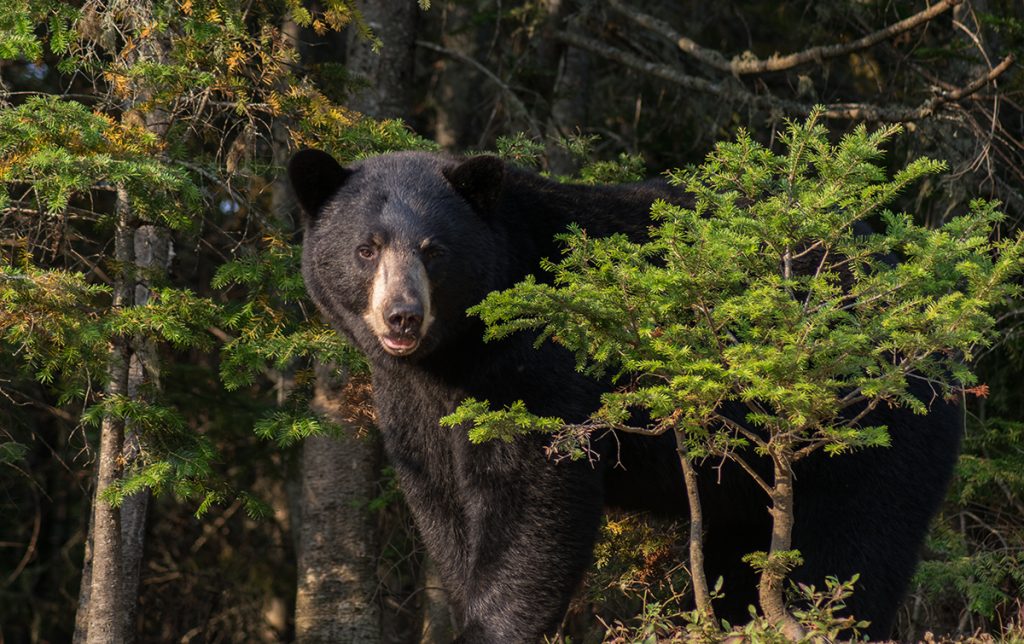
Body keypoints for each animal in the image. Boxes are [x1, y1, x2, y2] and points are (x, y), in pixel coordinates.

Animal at [288, 149, 961, 642]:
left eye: (434, 250)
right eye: (365, 249)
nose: (402, 316)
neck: (454, 355)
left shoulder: (536, 364)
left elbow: (533, 498)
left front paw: (490, 626)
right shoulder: (414, 404)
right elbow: (442, 501)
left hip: (865, 430)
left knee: (853, 547)